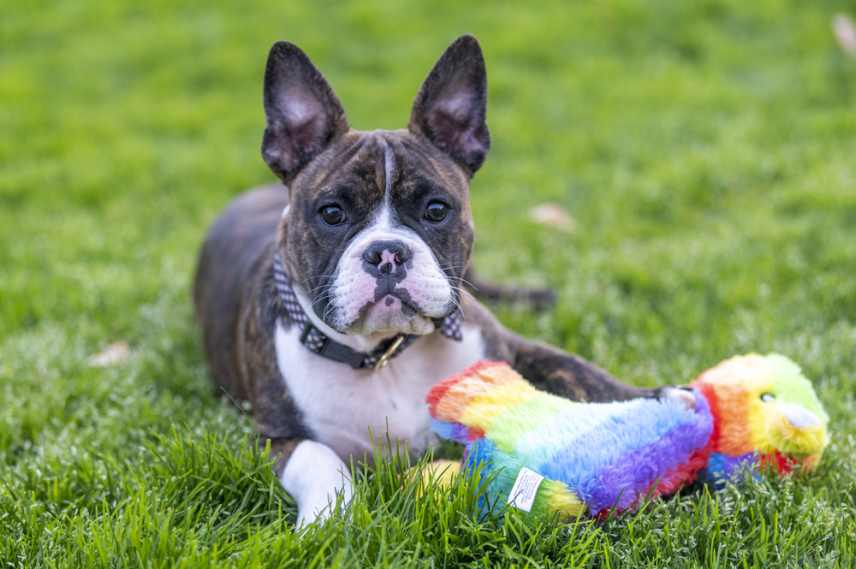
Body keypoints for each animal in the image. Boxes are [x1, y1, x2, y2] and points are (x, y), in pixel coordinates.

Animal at [194, 34, 684, 524]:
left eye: (436, 209)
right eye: (331, 213)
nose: (387, 253)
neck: (386, 355)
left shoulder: (512, 348)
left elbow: (580, 372)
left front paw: (660, 399)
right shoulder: (271, 439)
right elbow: (320, 458)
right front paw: (329, 518)